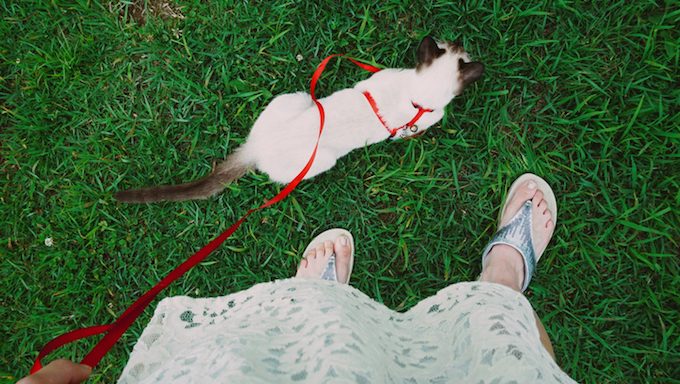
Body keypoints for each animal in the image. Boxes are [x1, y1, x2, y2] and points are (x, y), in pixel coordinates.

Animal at [114, 36, 484, 204]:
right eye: (453, 47)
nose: (458, 40)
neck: (416, 94)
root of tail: (257, 148)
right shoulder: (416, 125)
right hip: (323, 159)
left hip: (296, 98)